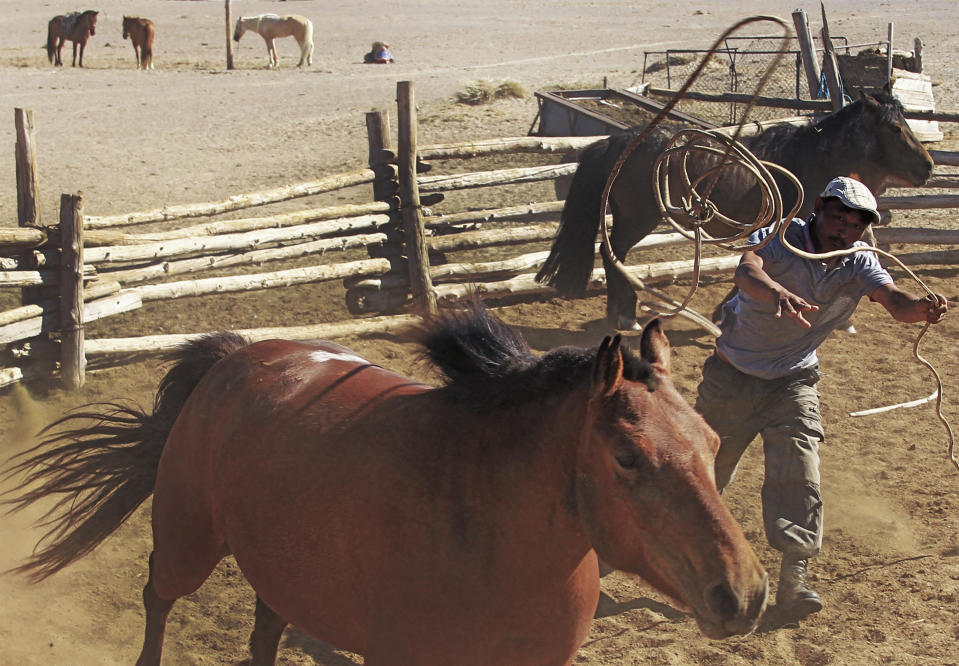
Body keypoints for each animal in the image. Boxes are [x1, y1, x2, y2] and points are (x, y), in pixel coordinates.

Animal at [0, 304, 764, 664]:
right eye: (628, 456)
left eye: (713, 442)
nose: (745, 593)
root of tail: (237, 355)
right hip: (189, 543)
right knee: (156, 598)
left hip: (279, 566)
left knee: (265, 631)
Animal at [540, 91, 936, 330]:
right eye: (894, 128)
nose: (928, 167)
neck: (814, 161)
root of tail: (620, 139)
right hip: (638, 219)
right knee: (614, 253)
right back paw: (625, 315)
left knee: (613, 254)